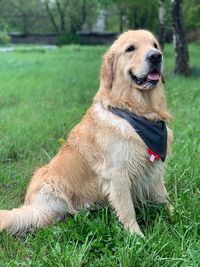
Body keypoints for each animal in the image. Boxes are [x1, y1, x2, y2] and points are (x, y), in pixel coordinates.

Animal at [0, 30, 173, 238]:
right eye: (130, 48)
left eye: (155, 45)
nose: (156, 56)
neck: (136, 112)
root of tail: (29, 203)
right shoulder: (117, 173)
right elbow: (127, 210)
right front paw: (137, 237)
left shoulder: (153, 169)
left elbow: (164, 197)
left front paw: (178, 215)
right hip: (49, 203)